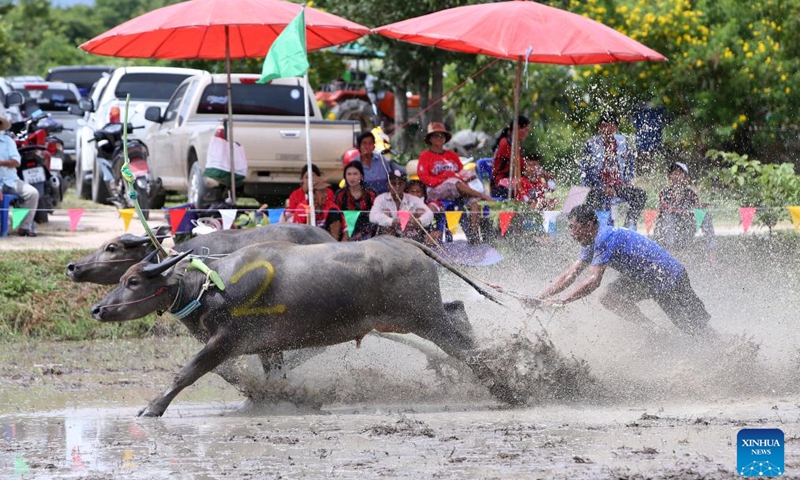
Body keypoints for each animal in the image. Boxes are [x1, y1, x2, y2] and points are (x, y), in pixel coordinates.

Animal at [91, 236, 514, 417]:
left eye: (133, 281)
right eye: (122, 278)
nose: (98, 309)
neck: (213, 285)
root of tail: (409, 244)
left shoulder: (225, 342)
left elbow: (187, 373)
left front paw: (152, 408)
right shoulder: (268, 347)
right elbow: (274, 378)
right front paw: (287, 400)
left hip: (422, 317)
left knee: (464, 347)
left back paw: (507, 384)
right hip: (417, 316)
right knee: (458, 311)